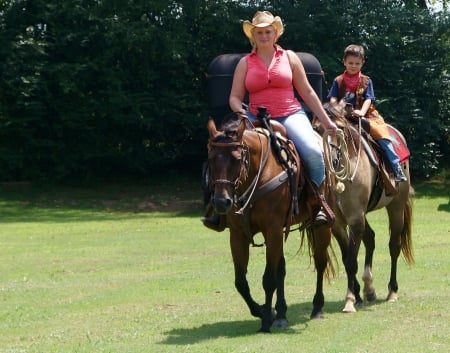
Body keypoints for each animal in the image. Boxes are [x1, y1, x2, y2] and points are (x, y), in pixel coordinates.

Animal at [206, 114, 332, 332]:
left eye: (237, 159)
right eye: (211, 158)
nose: (221, 202)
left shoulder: (272, 230)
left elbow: (268, 279)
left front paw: (265, 320)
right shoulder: (238, 234)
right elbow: (241, 281)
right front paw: (265, 311)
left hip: (321, 227)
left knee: (320, 261)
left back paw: (317, 307)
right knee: (281, 268)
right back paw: (281, 313)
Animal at [320, 102, 414, 310]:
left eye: (339, 129)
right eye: (316, 128)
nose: (332, 160)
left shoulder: (355, 218)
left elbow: (351, 261)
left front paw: (349, 300)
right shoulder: (340, 222)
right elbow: (348, 256)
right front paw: (356, 294)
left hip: (396, 207)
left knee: (394, 246)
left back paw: (392, 291)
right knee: (370, 238)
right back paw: (368, 289)